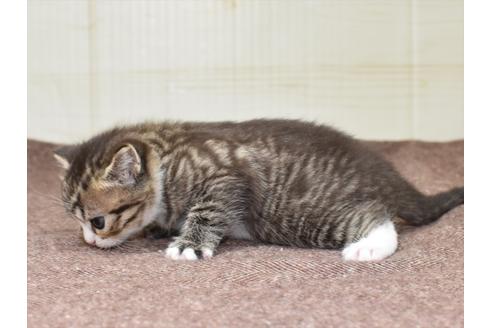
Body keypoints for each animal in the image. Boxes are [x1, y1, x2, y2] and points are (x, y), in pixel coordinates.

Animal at [53, 120, 466, 262]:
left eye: (98, 221)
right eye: (79, 222)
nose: (89, 241)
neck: (166, 158)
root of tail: (383, 172)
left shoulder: (225, 176)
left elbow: (207, 210)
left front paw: (188, 244)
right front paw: (158, 227)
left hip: (298, 214)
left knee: (377, 215)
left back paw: (369, 245)